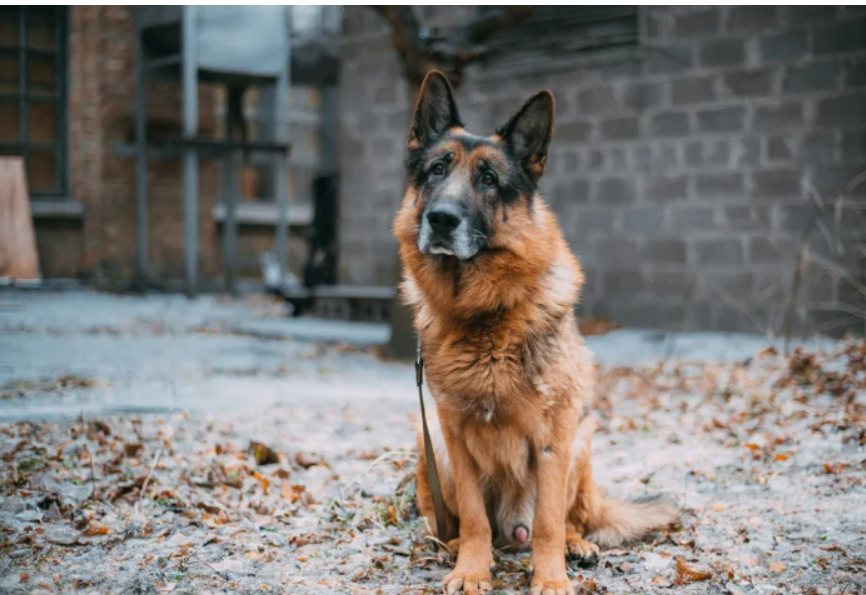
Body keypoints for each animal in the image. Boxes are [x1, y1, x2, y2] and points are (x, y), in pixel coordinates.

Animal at [392, 73, 676, 595]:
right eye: (437, 170)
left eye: (488, 180)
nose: (440, 218)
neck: (483, 314)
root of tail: (511, 531)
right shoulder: (453, 436)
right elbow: (474, 518)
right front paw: (471, 570)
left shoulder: (553, 439)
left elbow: (547, 522)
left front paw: (550, 578)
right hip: (430, 444)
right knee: (462, 524)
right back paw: (457, 547)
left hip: (581, 441)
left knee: (570, 519)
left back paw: (576, 545)